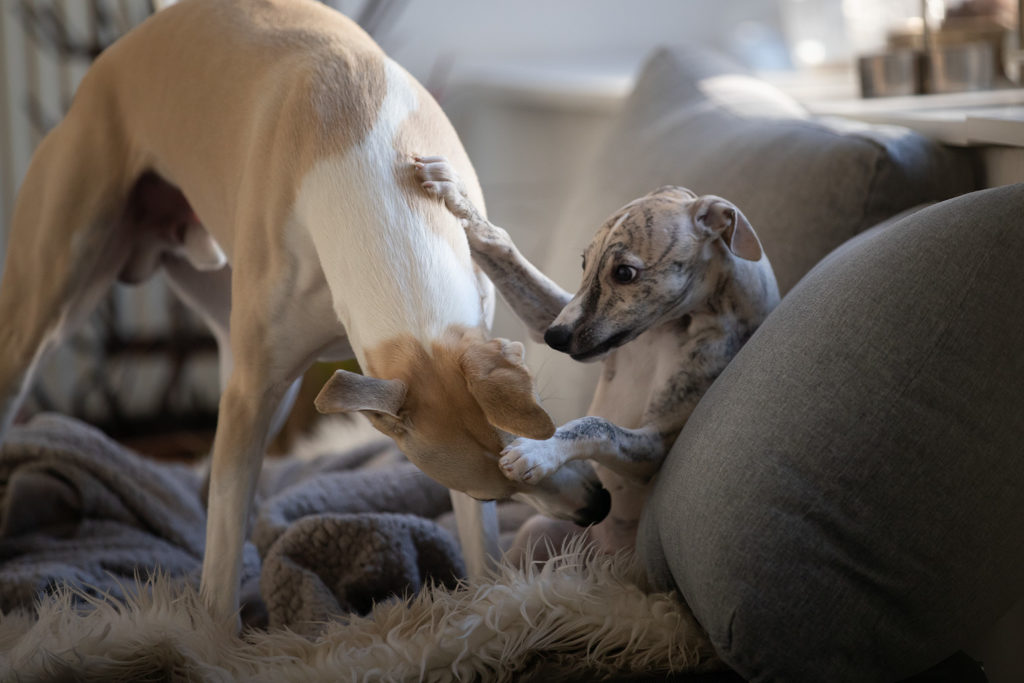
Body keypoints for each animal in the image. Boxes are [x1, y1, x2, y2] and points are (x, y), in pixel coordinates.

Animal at [0, 0, 606, 626]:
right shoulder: (252, 391)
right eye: (493, 495)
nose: (598, 506)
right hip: (48, 314)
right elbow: (221, 569)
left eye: (544, 430)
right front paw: (211, 637)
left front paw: (490, 609)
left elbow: (481, 552)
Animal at [411, 156, 778, 557]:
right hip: (536, 534)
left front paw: (540, 450)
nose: (555, 338)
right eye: (584, 263)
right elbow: (508, 253)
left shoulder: (656, 445)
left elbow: (598, 425)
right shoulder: (560, 321)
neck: (670, 328)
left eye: (625, 272)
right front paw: (457, 196)